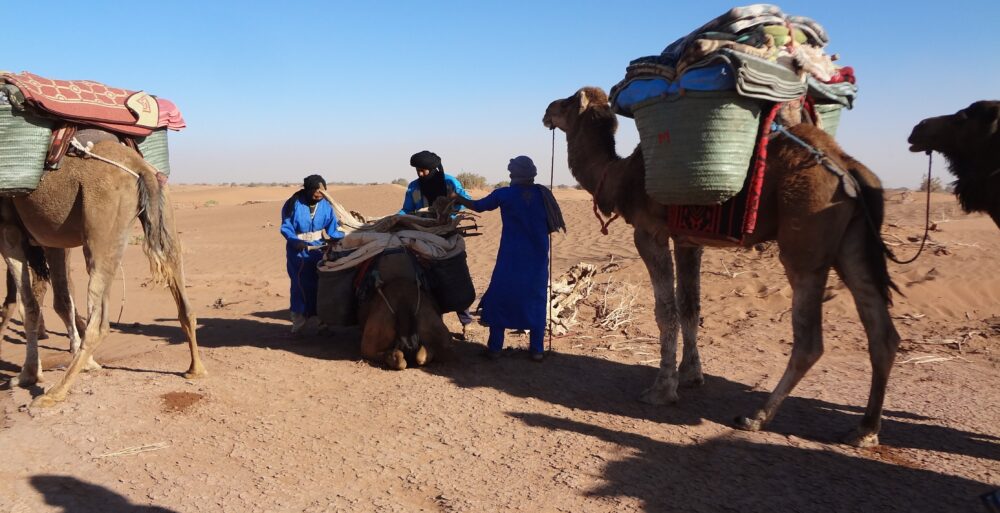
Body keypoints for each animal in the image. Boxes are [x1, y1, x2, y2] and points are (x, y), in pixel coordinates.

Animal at [0, 138, 205, 406]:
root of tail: (141, 167)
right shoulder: (51, 239)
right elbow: (59, 301)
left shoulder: (9, 229)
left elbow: (29, 306)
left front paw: (28, 375)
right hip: (165, 214)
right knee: (184, 301)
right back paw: (195, 369)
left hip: (101, 223)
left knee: (99, 321)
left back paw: (55, 393)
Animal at [544, 87, 904, 444]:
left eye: (567, 101)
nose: (547, 111)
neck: (620, 178)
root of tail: (848, 168)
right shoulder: (688, 239)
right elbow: (690, 306)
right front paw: (690, 375)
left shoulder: (649, 233)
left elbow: (666, 311)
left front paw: (662, 390)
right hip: (853, 246)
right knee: (882, 334)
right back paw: (865, 430)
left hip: (804, 244)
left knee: (809, 340)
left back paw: (756, 417)